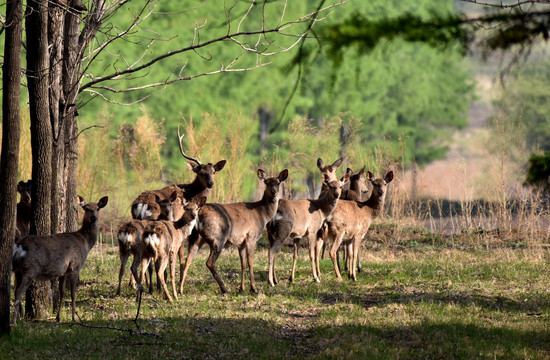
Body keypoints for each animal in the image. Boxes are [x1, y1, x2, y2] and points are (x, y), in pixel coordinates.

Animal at [12, 195, 109, 324]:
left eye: (98, 208)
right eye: (86, 208)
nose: (93, 218)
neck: (85, 242)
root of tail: (19, 245)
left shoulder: (64, 271)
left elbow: (62, 292)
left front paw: (58, 318)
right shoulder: (75, 266)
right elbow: (73, 293)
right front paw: (74, 318)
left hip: (18, 270)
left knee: (14, 290)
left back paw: (17, 318)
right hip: (30, 268)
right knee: (19, 291)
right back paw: (14, 322)